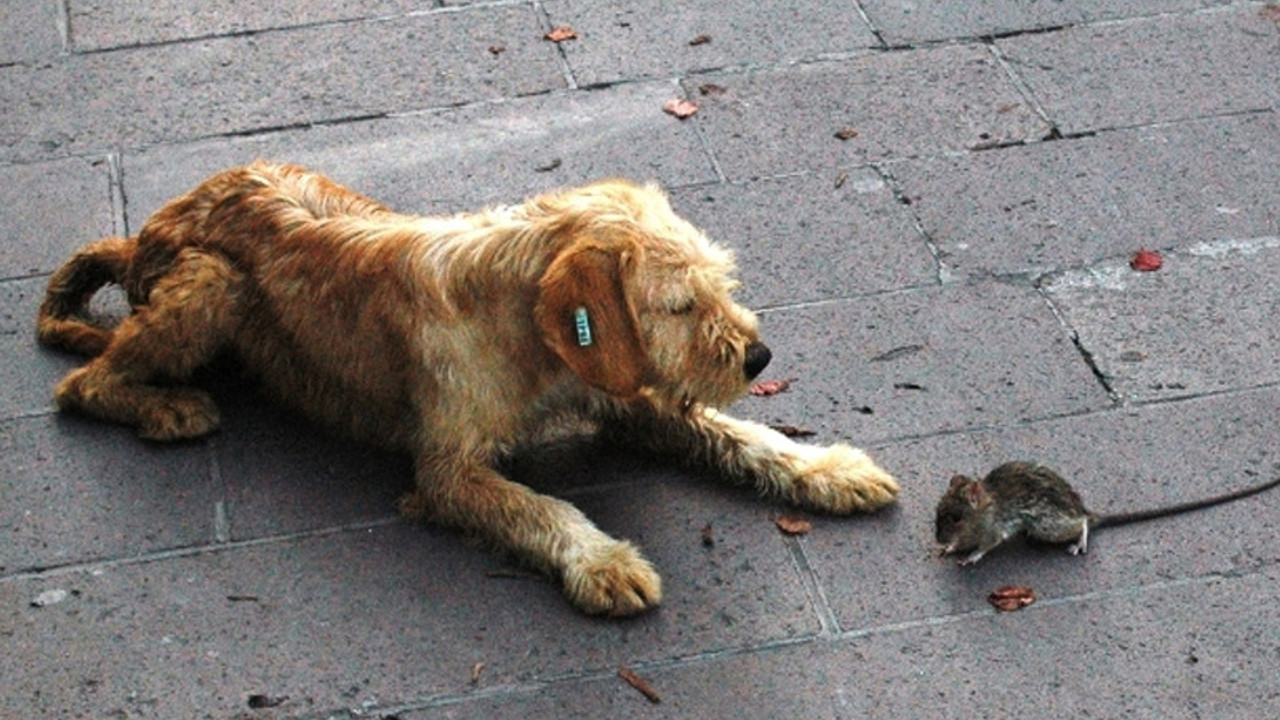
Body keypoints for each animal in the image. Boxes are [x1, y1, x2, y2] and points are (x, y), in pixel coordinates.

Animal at [40, 159, 901, 614]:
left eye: (722, 282)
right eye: (679, 305)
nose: (757, 357)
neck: (531, 334)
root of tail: (142, 235)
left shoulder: (627, 396)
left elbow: (740, 433)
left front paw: (826, 468)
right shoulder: (448, 473)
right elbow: (539, 506)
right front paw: (603, 560)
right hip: (210, 286)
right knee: (83, 382)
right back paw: (165, 406)